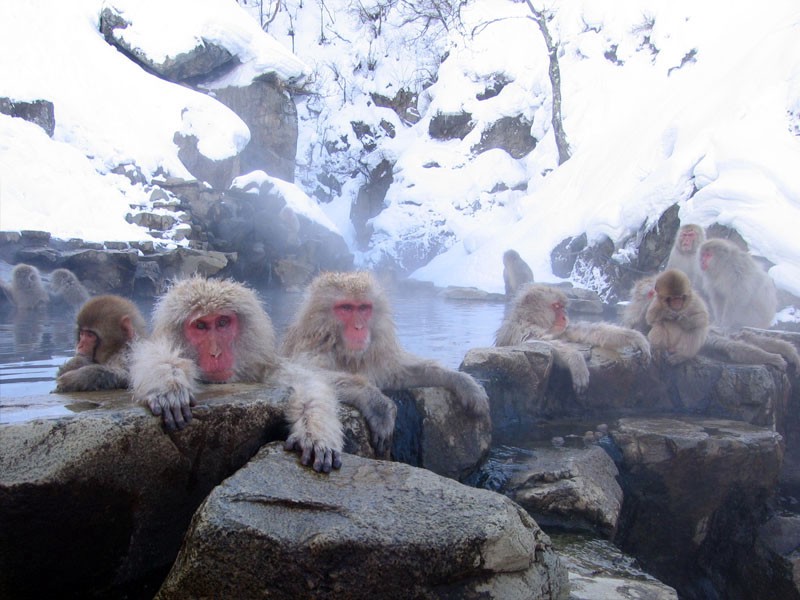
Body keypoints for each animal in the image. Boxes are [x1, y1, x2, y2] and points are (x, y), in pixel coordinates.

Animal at [129, 276, 344, 474]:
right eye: (200, 326)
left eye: (223, 322)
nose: (216, 353)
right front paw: (169, 384)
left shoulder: (264, 370)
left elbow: (307, 383)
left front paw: (315, 434)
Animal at [282, 270, 494, 452]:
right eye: (346, 308)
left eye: (364, 308)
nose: (359, 327)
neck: (346, 353)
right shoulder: (312, 349)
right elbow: (303, 373)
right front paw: (378, 405)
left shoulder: (375, 357)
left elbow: (399, 374)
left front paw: (462, 381)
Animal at [494, 284, 648, 396]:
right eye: (556, 306)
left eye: (562, 307)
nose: (564, 316)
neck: (532, 320)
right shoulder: (522, 329)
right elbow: (536, 341)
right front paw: (575, 360)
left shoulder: (561, 330)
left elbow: (585, 331)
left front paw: (635, 337)